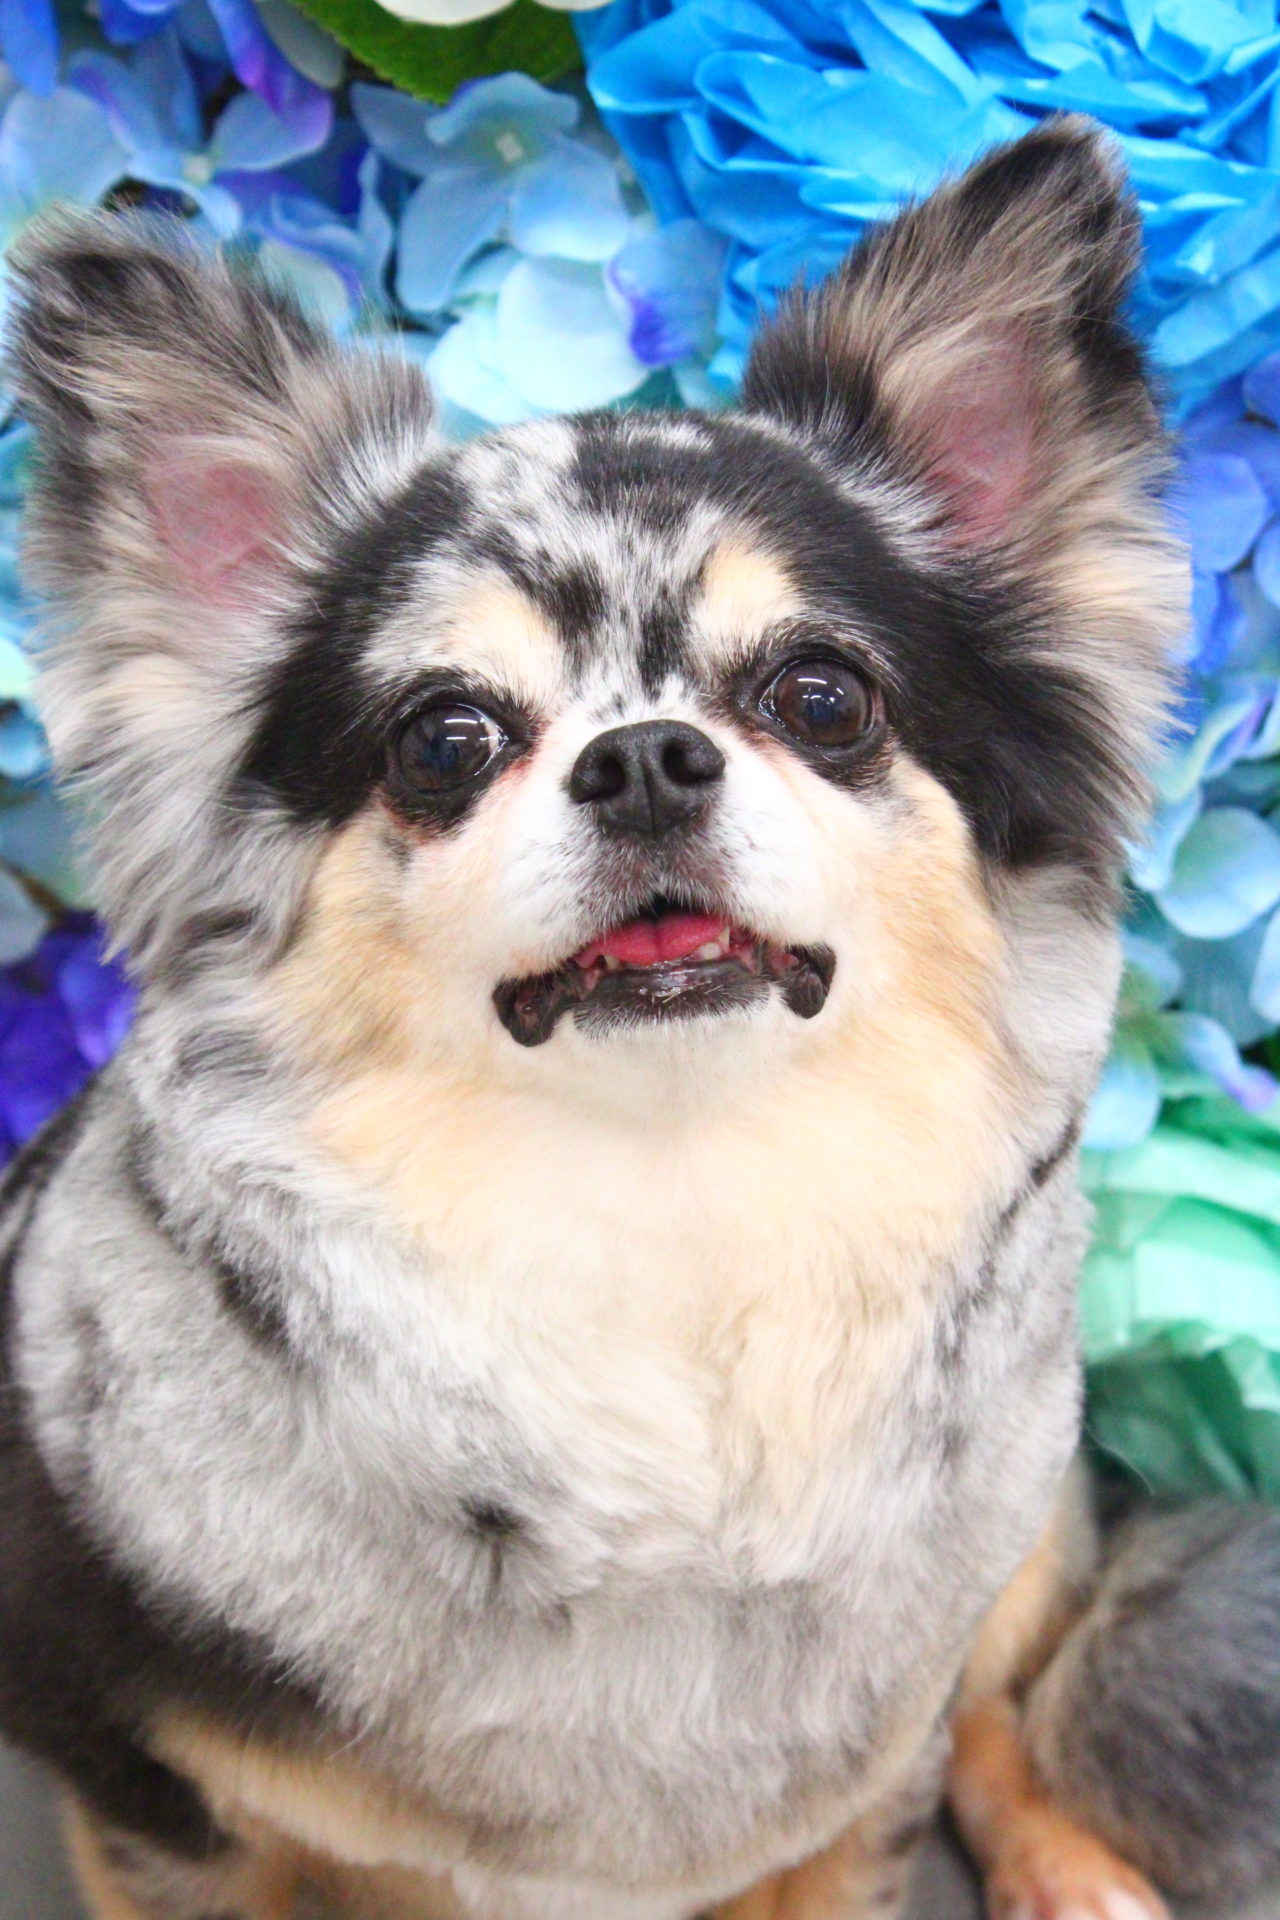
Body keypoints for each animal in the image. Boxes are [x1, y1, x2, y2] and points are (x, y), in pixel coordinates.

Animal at [1, 113, 1277, 1920]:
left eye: (822, 696)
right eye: (445, 738)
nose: (649, 757)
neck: (675, 1230)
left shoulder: (856, 1786)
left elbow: (912, 1763)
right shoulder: (155, 1805)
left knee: (996, 1702)